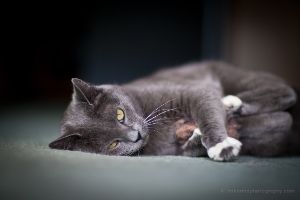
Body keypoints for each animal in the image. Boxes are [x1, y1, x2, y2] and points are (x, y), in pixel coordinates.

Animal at [48, 61, 298, 161]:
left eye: (120, 115)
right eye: (113, 144)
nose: (136, 136)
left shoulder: (193, 91)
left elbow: (207, 111)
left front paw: (221, 145)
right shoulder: (174, 149)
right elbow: (188, 151)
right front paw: (197, 139)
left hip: (233, 76)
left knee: (285, 92)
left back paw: (231, 102)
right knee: (282, 118)